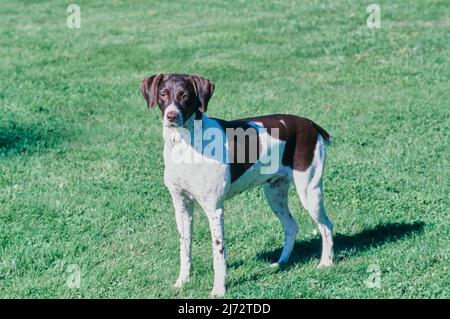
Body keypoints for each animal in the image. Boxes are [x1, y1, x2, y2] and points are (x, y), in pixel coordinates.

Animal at [141, 73, 334, 298]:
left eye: (185, 95)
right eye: (163, 94)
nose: (171, 116)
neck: (184, 144)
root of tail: (310, 125)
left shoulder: (214, 209)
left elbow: (219, 253)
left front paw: (218, 289)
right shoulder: (182, 207)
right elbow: (185, 248)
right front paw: (182, 282)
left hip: (309, 191)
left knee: (326, 226)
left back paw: (326, 263)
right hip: (275, 194)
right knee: (291, 226)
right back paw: (281, 263)